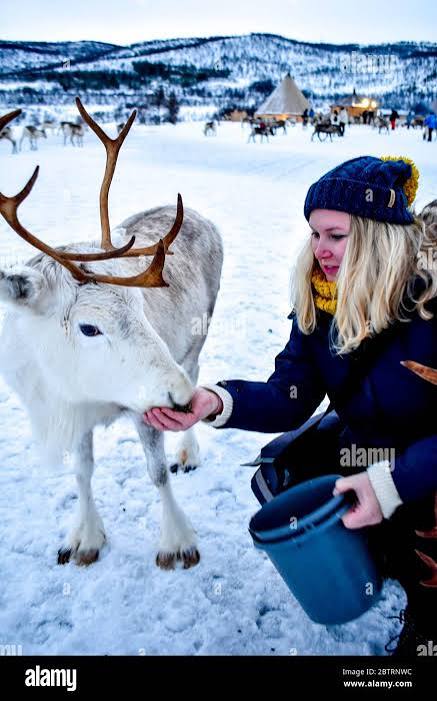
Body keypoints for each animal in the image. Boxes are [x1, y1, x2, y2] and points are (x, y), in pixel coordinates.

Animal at [0, 99, 223, 570]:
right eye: (89, 326)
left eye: (141, 307)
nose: (182, 398)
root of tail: (201, 216)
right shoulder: (75, 409)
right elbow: (81, 471)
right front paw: (85, 538)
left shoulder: (144, 405)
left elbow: (156, 473)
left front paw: (177, 542)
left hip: (197, 339)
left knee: (196, 371)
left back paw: (188, 452)